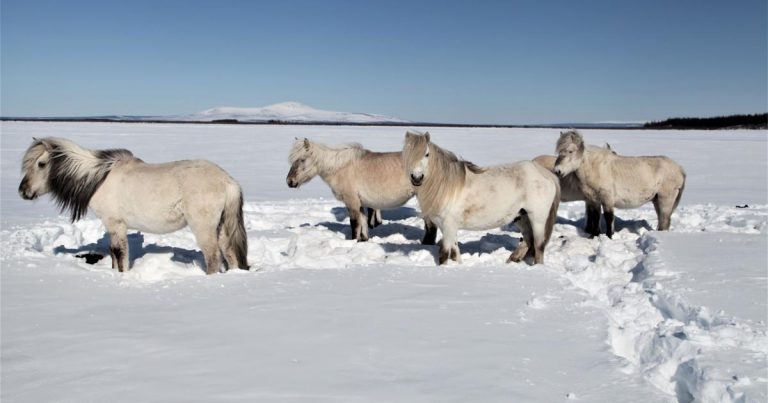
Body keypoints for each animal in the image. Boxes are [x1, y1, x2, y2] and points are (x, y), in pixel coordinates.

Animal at [18, 138, 248, 274]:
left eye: (41, 164)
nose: (22, 191)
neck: (99, 178)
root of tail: (228, 181)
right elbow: (113, 252)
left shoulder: (116, 224)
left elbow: (120, 253)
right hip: (221, 227)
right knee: (229, 254)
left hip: (203, 227)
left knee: (213, 257)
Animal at [284, 139, 436, 245]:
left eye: (302, 159)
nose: (289, 181)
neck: (340, 167)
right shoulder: (360, 203)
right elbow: (363, 222)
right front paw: (363, 240)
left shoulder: (351, 201)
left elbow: (355, 223)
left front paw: (353, 241)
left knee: (431, 226)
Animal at [402, 131, 560, 266]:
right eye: (406, 154)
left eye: (427, 154)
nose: (417, 178)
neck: (446, 186)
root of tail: (545, 173)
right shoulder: (447, 227)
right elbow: (455, 252)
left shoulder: (448, 225)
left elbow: (444, 254)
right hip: (521, 217)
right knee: (528, 240)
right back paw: (512, 260)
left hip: (537, 218)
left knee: (538, 245)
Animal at [556, 129, 688, 238]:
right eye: (559, 151)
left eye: (570, 151)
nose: (558, 170)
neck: (595, 168)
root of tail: (679, 168)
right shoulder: (593, 200)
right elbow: (595, 217)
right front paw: (594, 235)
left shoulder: (607, 199)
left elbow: (608, 217)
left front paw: (609, 236)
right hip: (657, 201)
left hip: (665, 200)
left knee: (664, 221)